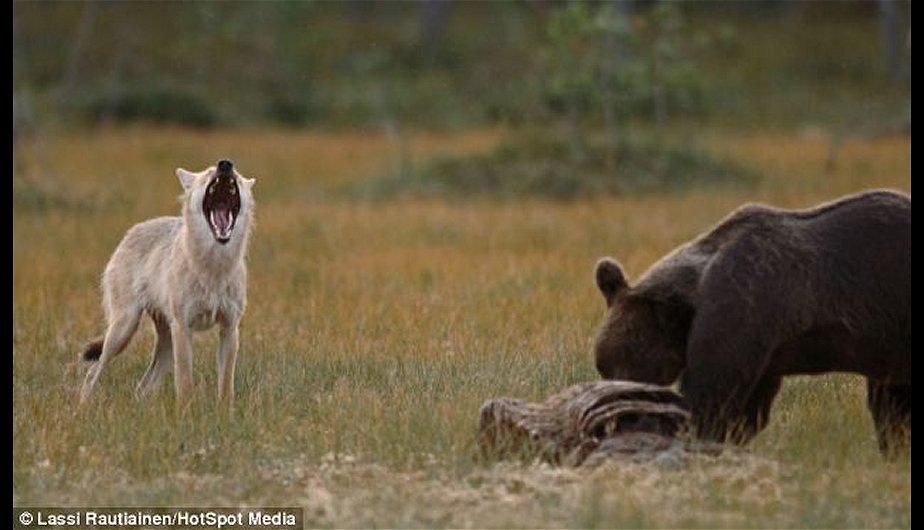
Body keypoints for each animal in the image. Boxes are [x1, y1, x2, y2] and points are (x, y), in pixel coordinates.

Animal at [77, 159, 253, 406]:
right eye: (208, 173)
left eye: (235, 175)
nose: (225, 164)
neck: (213, 266)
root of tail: (130, 232)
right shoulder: (183, 327)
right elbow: (185, 384)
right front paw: (187, 414)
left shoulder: (230, 328)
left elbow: (226, 388)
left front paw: (224, 415)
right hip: (124, 330)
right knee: (94, 371)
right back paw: (81, 409)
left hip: (165, 346)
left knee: (142, 386)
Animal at [592, 188, 908, 452]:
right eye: (603, 364)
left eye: (629, 362)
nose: (609, 407)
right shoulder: (763, 347)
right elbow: (748, 410)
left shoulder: (742, 306)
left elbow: (711, 398)